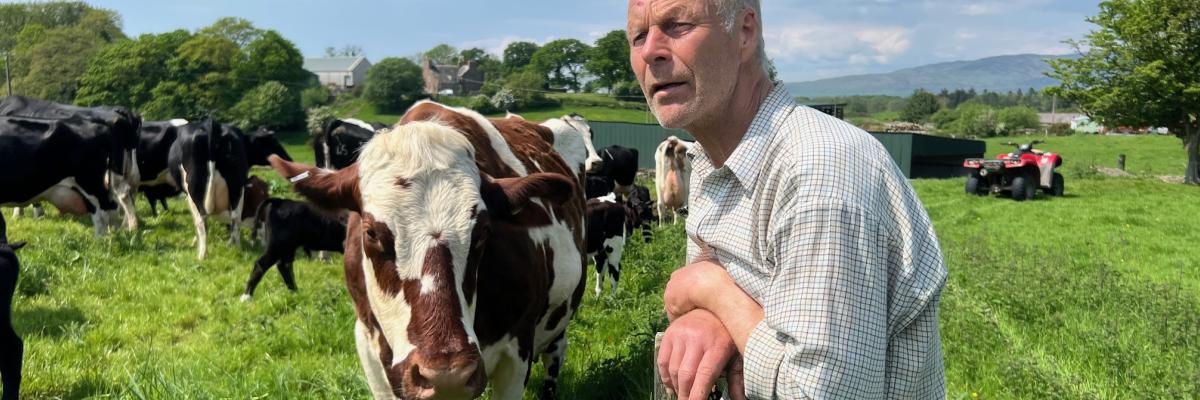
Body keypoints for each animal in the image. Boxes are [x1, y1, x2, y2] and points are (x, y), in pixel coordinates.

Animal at [0, 94, 142, 229]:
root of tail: (122, 112)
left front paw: (21, 214)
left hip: (109, 173)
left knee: (122, 193)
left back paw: (131, 227)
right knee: (130, 190)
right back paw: (126, 224)